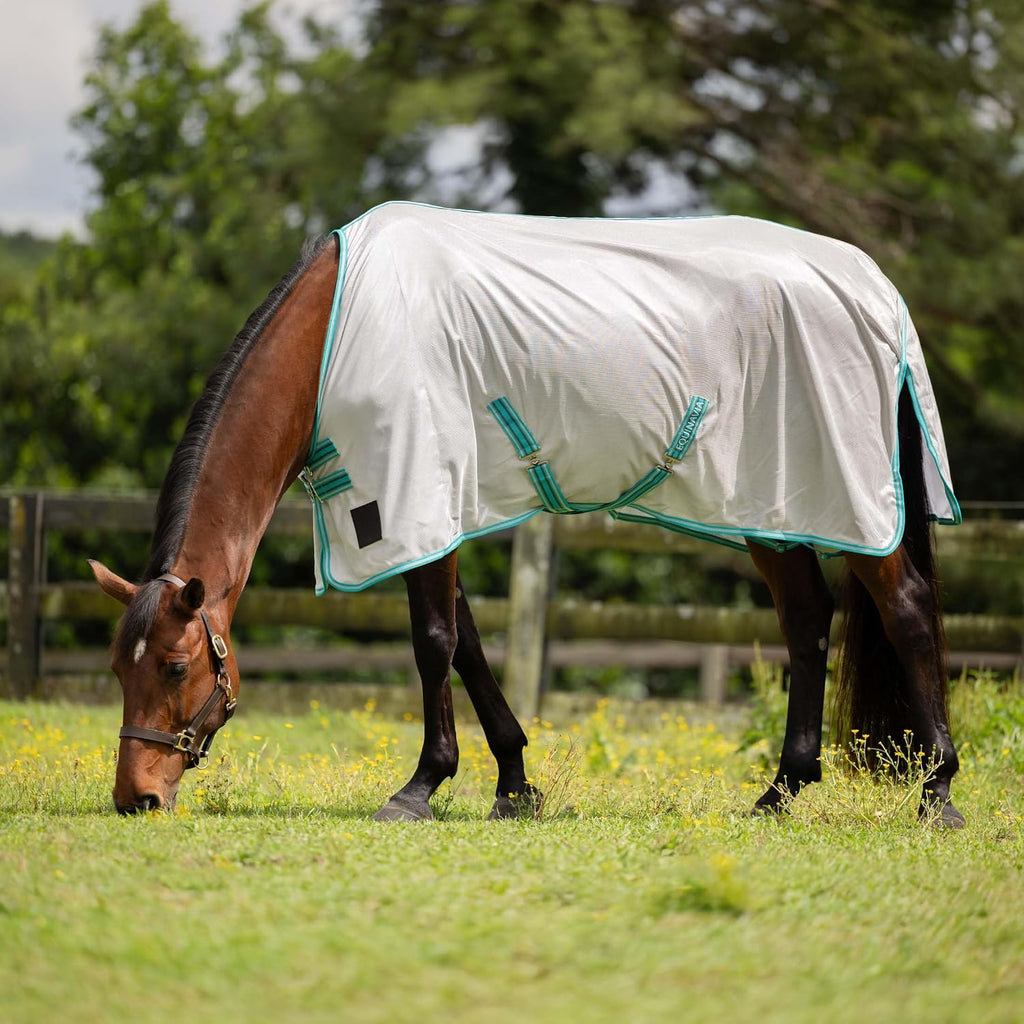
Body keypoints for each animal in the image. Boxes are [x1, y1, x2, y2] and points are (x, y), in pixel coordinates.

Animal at [90, 203, 964, 827]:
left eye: (175, 667)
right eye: (117, 670)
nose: (137, 796)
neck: (335, 333)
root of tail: (878, 290)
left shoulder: (415, 494)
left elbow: (434, 642)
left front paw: (421, 786)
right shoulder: (434, 512)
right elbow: (471, 643)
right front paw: (513, 783)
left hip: (852, 500)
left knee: (905, 608)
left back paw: (939, 794)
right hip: (775, 505)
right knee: (807, 618)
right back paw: (782, 790)